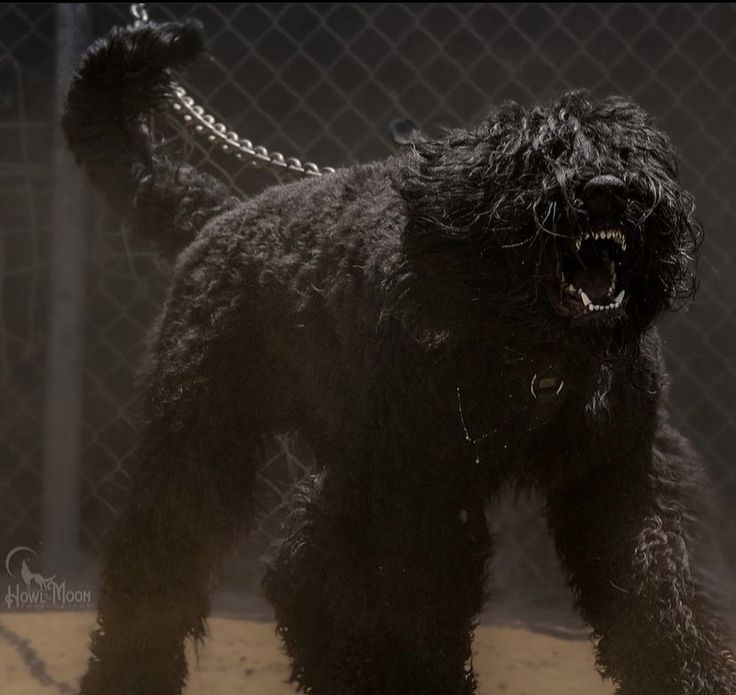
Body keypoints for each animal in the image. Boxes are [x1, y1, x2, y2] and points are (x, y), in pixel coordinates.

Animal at [64, 20, 736, 695]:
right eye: (538, 158)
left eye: (629, 153)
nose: (606, 192)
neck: (531, 349)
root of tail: (219, 216)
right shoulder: (422, 493)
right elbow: (416, 614)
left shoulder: (617, 475)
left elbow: (659, 592)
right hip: (206, 444)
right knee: (161, 560)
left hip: (342, 468)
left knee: (299, 572)